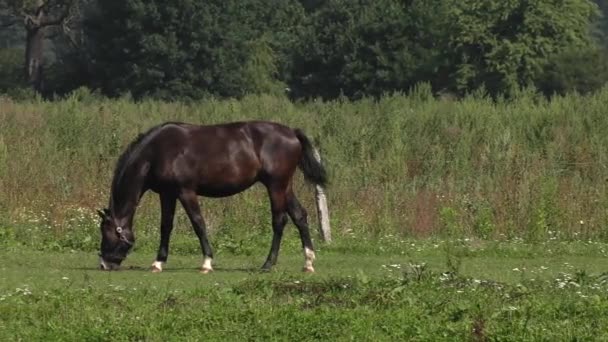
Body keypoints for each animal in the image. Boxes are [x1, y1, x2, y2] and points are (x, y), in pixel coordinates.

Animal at [97, 120, 328, 272]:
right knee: (300, 216)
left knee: (279, 221)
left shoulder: (186, 192)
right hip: (285, 186)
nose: (104, 263)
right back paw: (308, 262)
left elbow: (198, 223)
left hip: (275, 185)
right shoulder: (167, 194)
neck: (158, 152)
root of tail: (292, 132)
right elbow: (166, 226)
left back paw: (268, 264)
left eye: (106, 232)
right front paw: (158, 262)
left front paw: (207, 262)